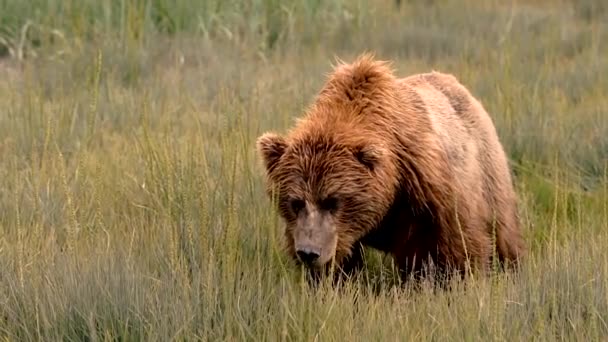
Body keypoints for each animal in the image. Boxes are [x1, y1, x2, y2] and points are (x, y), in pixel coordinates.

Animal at [254, 53, 524, 284]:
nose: (309, 253)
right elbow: (343, 265)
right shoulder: (337, 232)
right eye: (295, 201)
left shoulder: (427, 187)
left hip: (487, 169)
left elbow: (458, 245)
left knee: (504, 232)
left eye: (332, 200)